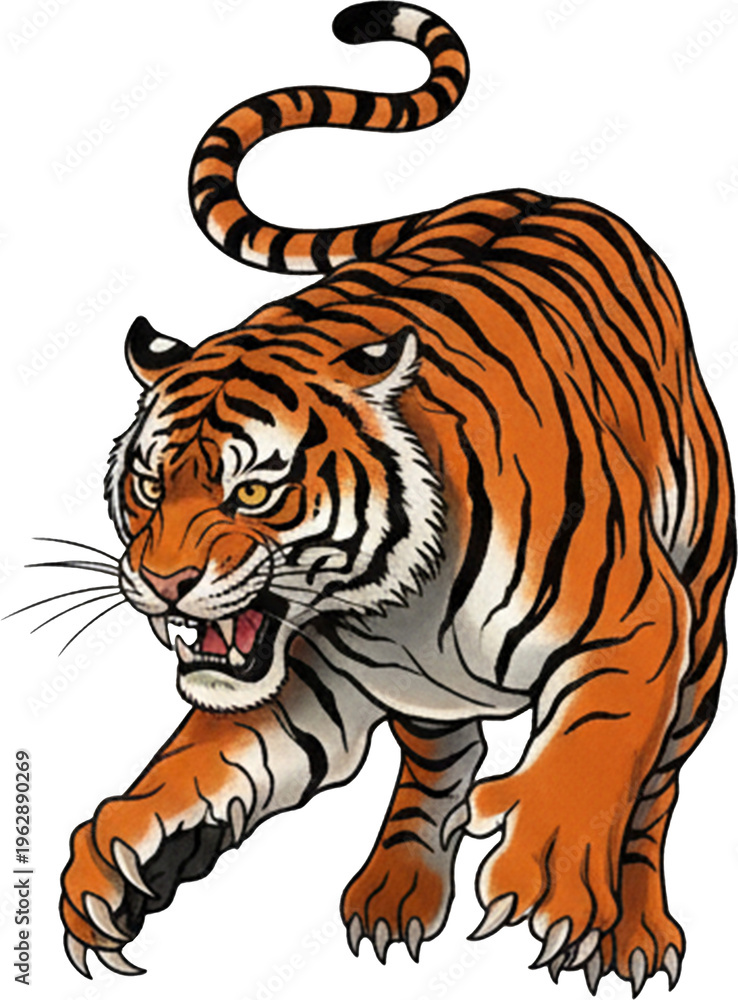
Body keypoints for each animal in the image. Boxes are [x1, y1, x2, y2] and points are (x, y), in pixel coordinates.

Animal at [56, 2, 735, 995]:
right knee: (446, 757)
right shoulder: (311, 682)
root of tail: (542, 193)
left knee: (657, 783)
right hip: (433, 698)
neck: (388, 601)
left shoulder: (637, 621)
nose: (164, 582)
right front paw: (113, 858)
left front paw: (546, 874)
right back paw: (397, 890)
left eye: (253, 489)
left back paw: (635, 930)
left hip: (704, 614)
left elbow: (599, 746)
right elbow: (200, 759)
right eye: (148, 485)